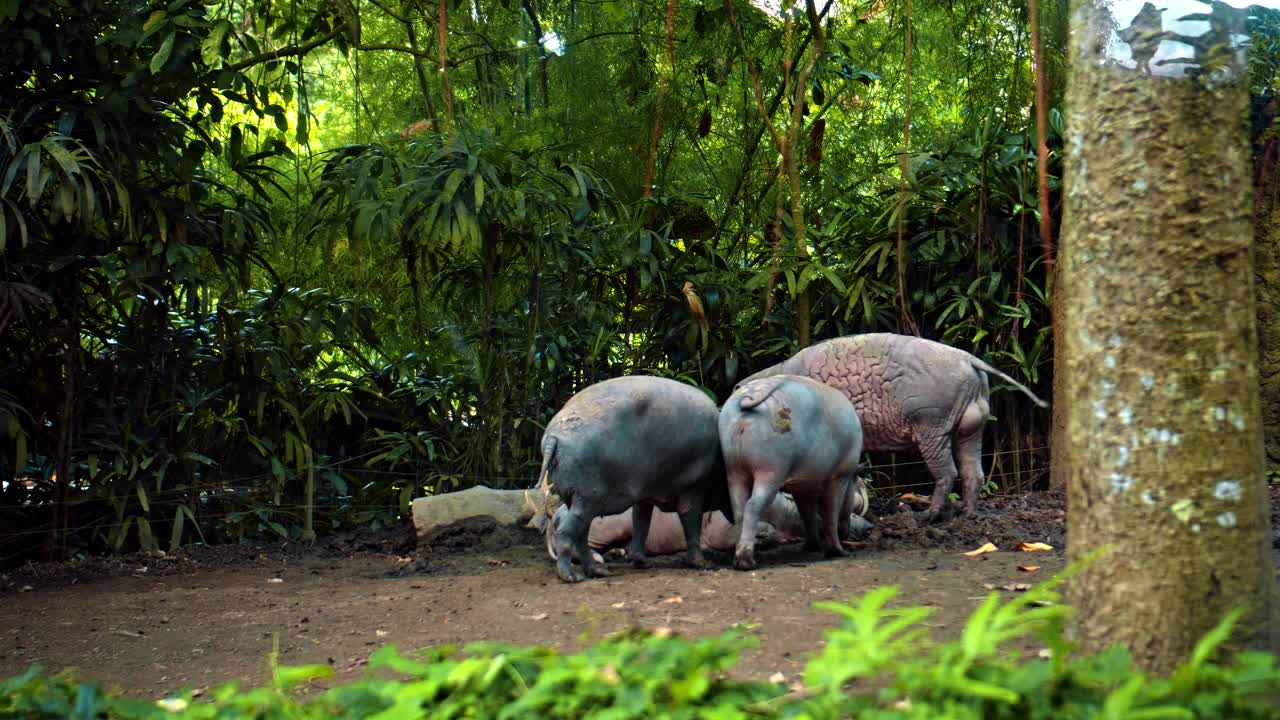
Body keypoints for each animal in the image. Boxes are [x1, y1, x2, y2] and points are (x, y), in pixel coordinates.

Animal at [535, 371, 727, 579]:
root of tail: (553, 437)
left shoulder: (646, 493)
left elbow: (641, 522)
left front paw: (641, 562)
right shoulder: (692, 487)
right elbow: (690, 521)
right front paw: (702, 564)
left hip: (578, 499)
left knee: (580, 534)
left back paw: (598, 570)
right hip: (588, 499)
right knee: (568, 532)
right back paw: (572, 576)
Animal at [716, 371, 865, 568]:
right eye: (854, 489)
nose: (847, 534)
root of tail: (750, 396)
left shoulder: (803, 486)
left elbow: (807, 513)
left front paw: (811, 547)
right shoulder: (840, 476)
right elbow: (830, 511)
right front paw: (838, 552)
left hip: (733, 468)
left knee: (739, 509)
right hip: (771, 469)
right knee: (753, 505)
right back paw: (746, 561)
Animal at [742, 333, 1049, 517]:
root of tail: (969, 359)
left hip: (931, 422)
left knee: (947, 472)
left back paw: (929, 516)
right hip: (972, 427)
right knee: (974, 472)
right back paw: (966, 514)